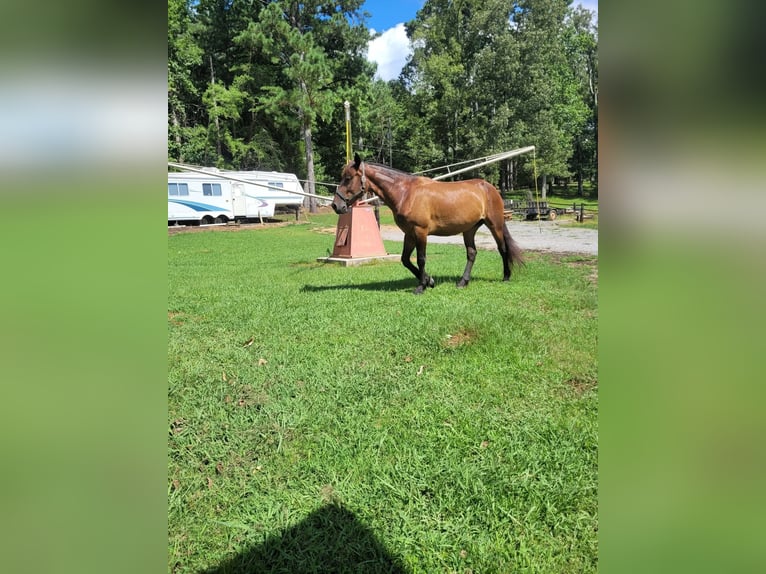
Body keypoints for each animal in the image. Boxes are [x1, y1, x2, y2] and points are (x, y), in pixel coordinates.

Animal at [332, 154, 524, 294]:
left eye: (348, 178)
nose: (336, 205)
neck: (406, 192)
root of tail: (489, 187)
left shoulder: (420, 231)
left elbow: (421, 258)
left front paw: (421, 286)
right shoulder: (409, 233)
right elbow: (405, 260)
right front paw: (429, 280)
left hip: (495, 225)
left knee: (502, 249)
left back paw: (506, 276)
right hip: (469, 229)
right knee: (472, 253)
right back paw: (463, 281)